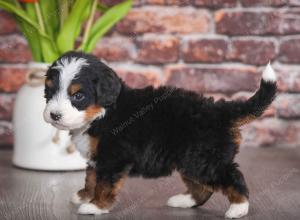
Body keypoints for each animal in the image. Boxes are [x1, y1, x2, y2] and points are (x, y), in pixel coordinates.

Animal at [43, 51, 278, 218]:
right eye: (49, 91)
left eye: (78, 96)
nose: (54, 115)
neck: (102, 112)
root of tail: (221, 110)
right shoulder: (97, 158)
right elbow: (91, 178)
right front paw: (84, 196)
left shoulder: (112, 158)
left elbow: (104, 183)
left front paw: (96, 206)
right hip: (192, 160)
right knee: (202, 187)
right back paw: (184, 201)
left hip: (205, 160)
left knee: (232, 177)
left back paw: (239, 207)